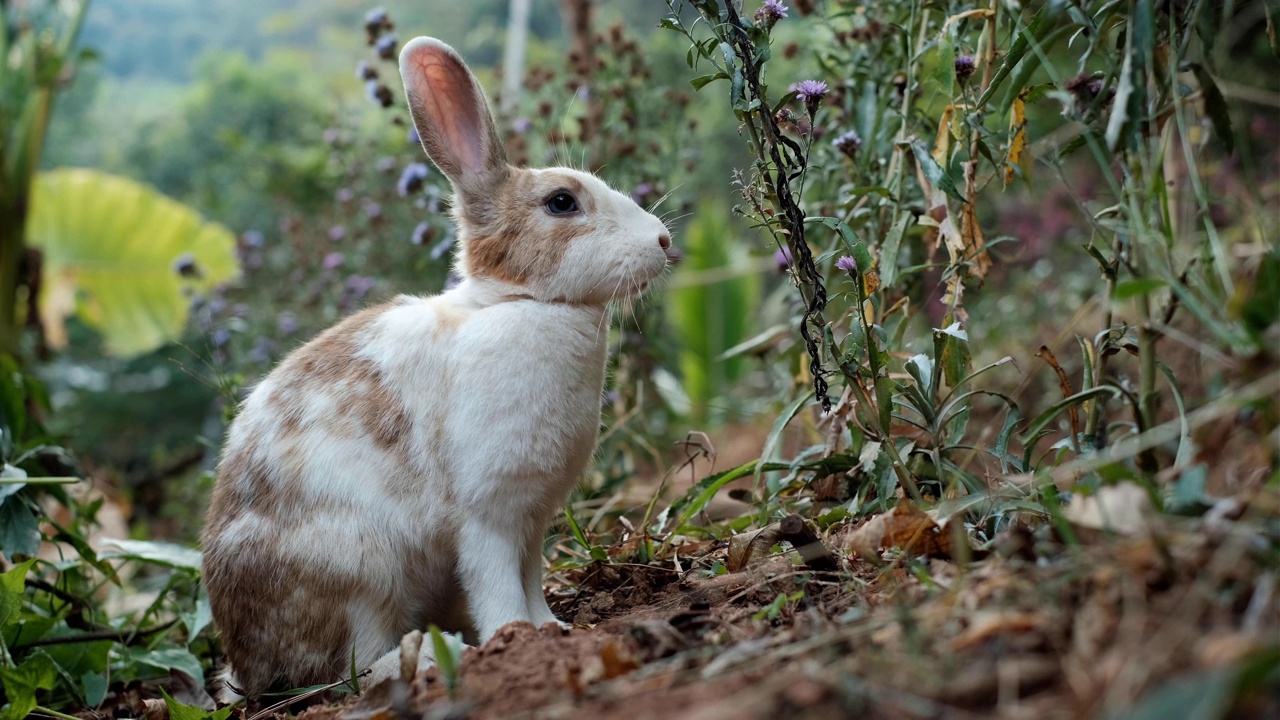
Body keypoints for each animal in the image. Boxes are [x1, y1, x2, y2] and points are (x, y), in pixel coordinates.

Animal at [199, 35, 675, 702]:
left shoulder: (532, 521)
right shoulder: (489, 516)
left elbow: (532, 579)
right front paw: (513, 638)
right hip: (361, 572)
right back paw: (431, 657)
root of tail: (245, 664)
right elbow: (498, 586)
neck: (519, 302)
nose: (663, 242)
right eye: (562, 202)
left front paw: (553, 628)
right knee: (348, 669)